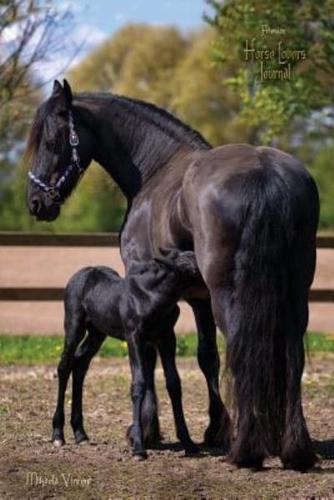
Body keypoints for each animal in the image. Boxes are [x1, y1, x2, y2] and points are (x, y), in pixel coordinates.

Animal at [51, 252, 198, 458]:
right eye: (188, 265)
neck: (152, 297)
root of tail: (82, 273)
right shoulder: (134, 337)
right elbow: (138, 384)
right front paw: (138, 447)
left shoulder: (167, 338)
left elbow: (174, 383)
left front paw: (188, 442)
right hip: (74, 325)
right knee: (64, 366)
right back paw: (58, 434)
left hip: (97, 333)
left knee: (80, 364)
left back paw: (80, 433)